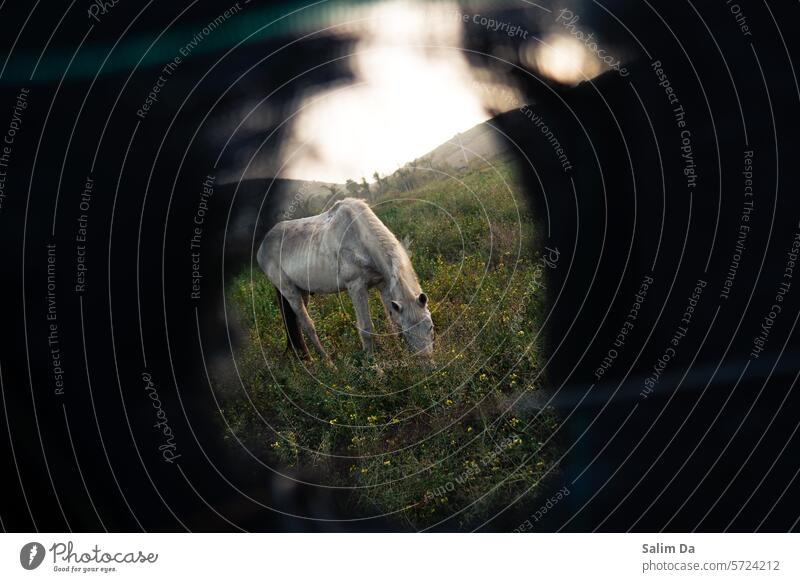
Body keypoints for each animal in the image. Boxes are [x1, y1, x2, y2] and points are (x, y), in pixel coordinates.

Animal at [256, 198, 432, 362]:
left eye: (430, 326)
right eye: (408, 332)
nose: (427, 364)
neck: (360, 237)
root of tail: (262, 247)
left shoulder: (383, 285)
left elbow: (392, 323)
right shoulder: (356, 287)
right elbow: (366, 329)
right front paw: (374, 367)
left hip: (302, 291)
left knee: (296, 324)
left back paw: (309, 361)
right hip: (289, 291)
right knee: (308, 326)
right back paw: (329, 365)